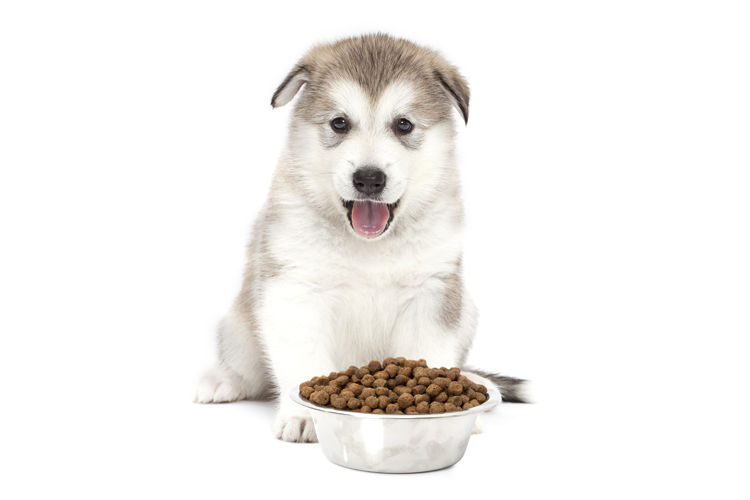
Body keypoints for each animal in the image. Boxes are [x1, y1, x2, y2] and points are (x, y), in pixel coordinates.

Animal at [194, 34, 528, 442]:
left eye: (403, 125)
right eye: (339, 123)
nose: (369, 179)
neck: (370, 246)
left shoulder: (431, 291)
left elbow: (430, 354)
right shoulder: (293, 291)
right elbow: (303, 360)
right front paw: (304, 416)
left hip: (467, 311)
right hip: (239, 324)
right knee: (247, 369)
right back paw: (221, 380)